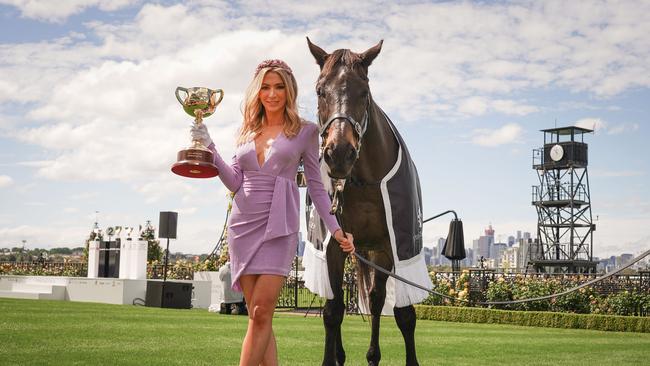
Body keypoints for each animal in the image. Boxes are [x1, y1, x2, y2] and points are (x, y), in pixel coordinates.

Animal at [306, 38, 428, 366]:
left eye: (364, 91)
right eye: (320, 90)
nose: (339, 153)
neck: (363, 180)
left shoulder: (393, 244)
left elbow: (402, 314)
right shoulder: (334, 244)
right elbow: (332, 311)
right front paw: (332, 358)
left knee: (374, 299)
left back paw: (372, 356)